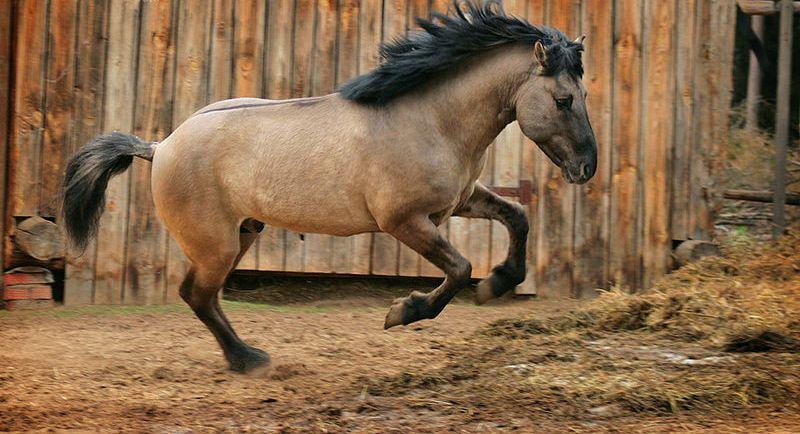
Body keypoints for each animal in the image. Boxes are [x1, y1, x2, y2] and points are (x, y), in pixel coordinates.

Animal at [61, 1, 597, 374]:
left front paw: (499, 282)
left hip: (242, 233)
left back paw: (245, 357)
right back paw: (248, 360)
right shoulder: (403, 221)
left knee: (204, 297)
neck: (430, 119)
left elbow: (517, 218)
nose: (587, 167)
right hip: (215, 243)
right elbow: (460, 268)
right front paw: (403, 312)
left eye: (582, 95)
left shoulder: (460, 201)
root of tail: (161, 145)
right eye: (564, 100)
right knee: (197, 294)